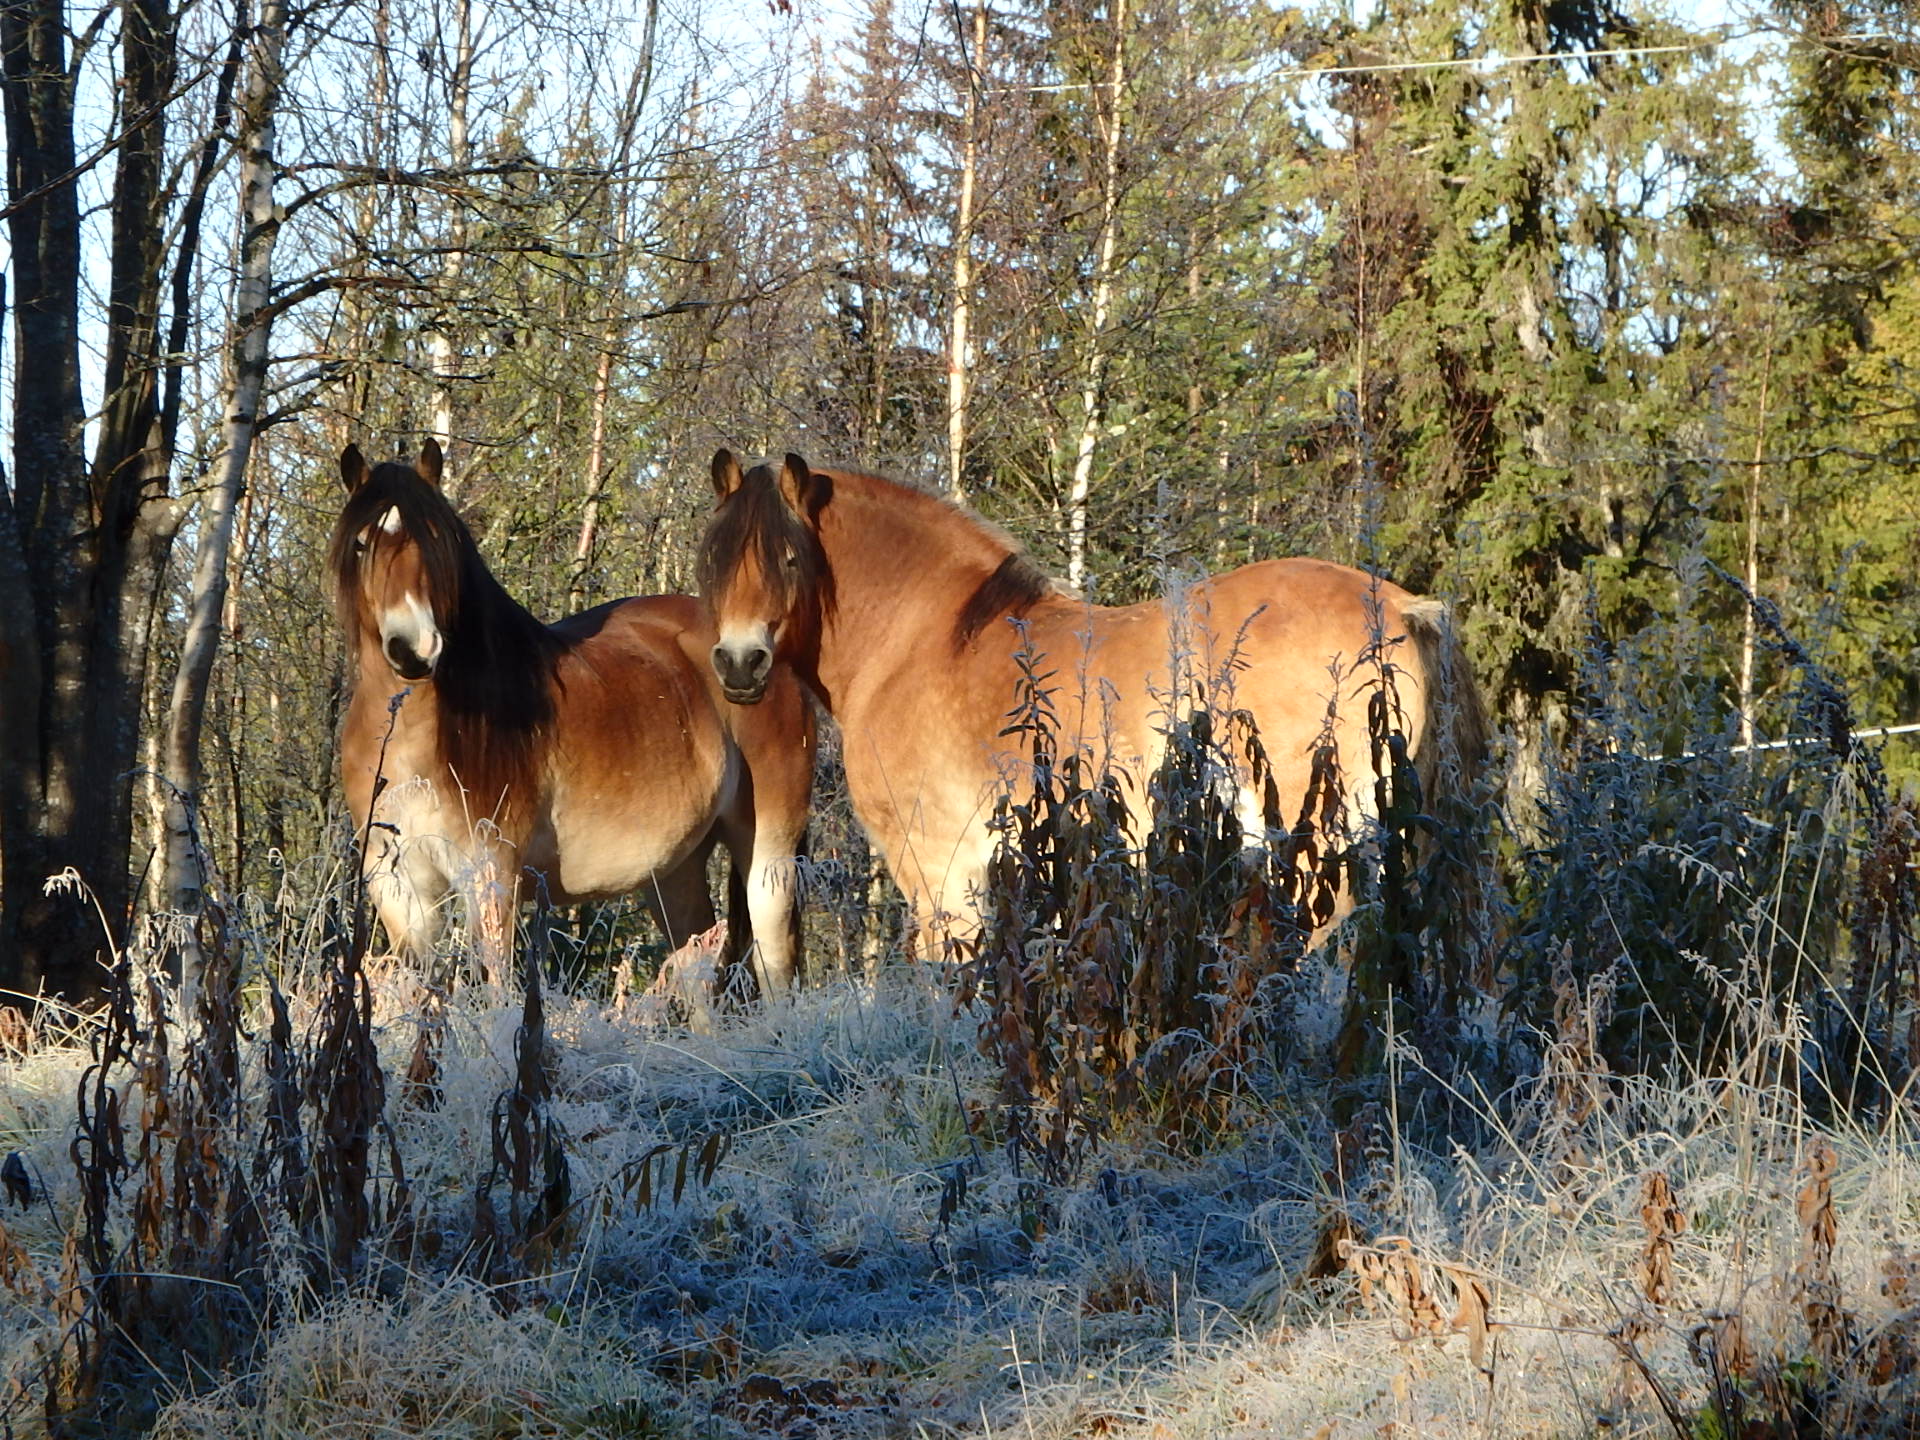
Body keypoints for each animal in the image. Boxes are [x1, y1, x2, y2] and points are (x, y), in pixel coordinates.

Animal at [331, 440, 815, 990]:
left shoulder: (492, 877)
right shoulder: (400, 892)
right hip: (675, 872)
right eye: (362, 545)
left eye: (435, 539)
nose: (412, 648)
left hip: (769, 856)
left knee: (775, 967)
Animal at [696, 450, 1489, 951]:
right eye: (714, 560)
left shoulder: (939, 872)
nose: (738, 664)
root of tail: (1402, 605)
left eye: (788, 558)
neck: (925, 639)